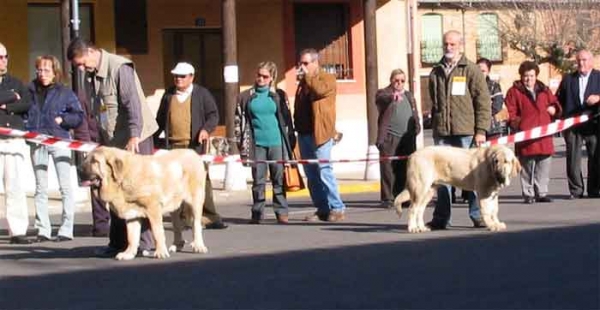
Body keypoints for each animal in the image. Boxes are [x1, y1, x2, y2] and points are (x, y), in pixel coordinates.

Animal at [80, 147, 209, 260]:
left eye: (94, 161)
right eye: (86, 158)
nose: (78, 169)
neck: (122, 179)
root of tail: (193, 152)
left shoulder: (153, 208)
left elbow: (157, 232)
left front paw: (160, 252)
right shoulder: (132, 214)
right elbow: (132, 236)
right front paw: (128, 254)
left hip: (195, 200)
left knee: (196, 224)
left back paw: (198, 245)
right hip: (174, 207)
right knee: (177, 225)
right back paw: (176, 245)